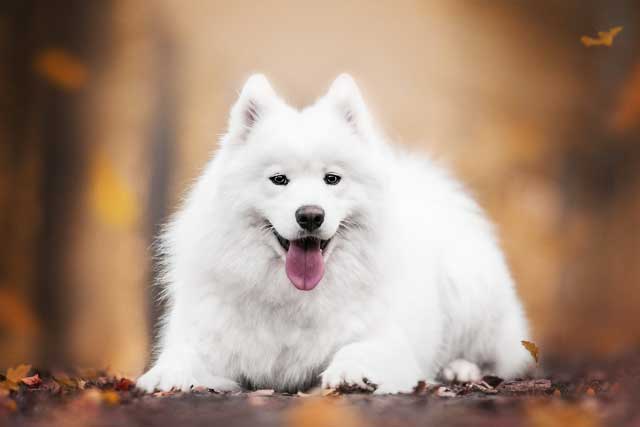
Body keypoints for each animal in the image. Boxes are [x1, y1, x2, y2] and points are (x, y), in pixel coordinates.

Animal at [138, 73, 532, 394]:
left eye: (332, 179)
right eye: (279, 179)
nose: (311, 215)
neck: (292, 298)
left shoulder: (388, 341)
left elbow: (358, 347)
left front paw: (351, 372)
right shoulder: (210, 339)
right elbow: (183, 355)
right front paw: (163, 375)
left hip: (471, 293)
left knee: (494, 357)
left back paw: (460, 369)